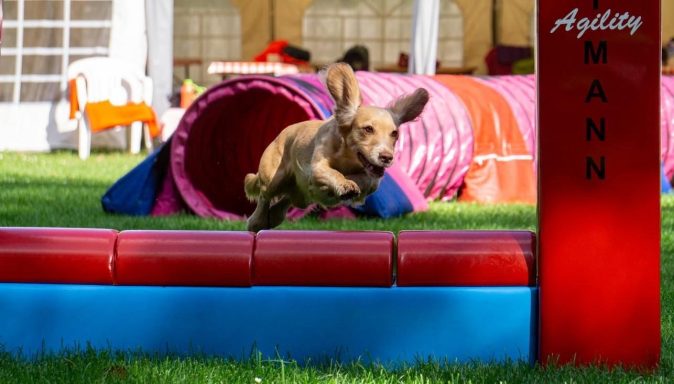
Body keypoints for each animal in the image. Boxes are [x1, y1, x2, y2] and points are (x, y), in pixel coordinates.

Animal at [244, 63, 428, 231]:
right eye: (368, 129)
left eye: (394, 133)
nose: (386, 157)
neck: (347, 158)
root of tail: (279, 136)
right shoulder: (317, 167)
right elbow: (333, 172)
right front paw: (345, 185)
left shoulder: (373, 181)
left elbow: (364, 179)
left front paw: (349, 186)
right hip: (274, 178)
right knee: (264, 196)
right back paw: (256, 222)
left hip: (298, 196)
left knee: (282, 204)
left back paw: (271, 217)